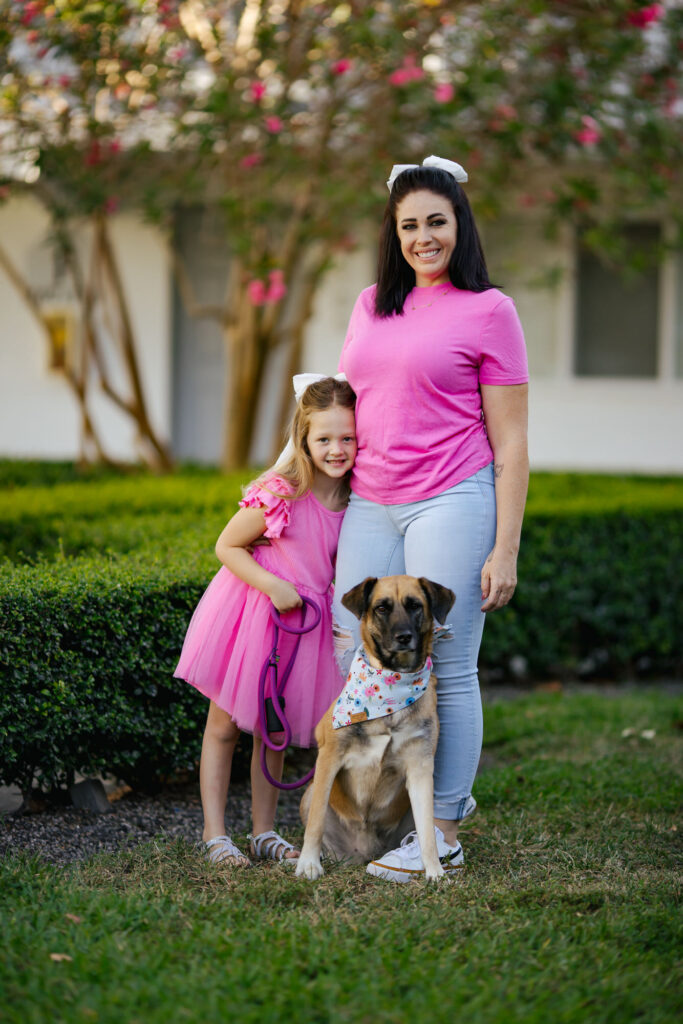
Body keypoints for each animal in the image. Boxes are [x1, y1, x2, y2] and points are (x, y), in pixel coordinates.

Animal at [294, 577, 450, 880]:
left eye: (415, 605)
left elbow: (427, 830)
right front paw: (308, 863)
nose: (404, 637)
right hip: (309, 792)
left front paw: (435, 871)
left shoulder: (420, 767)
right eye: (382, 608)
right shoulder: (329, 758)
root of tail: (363, 853)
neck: (390, 687)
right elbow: (316, 820)